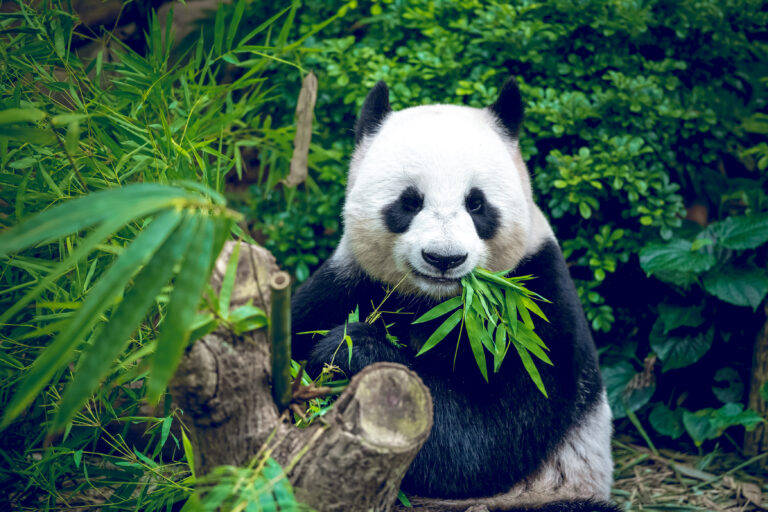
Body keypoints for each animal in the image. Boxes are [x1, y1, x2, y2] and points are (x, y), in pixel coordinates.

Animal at [291, 77, 618, 512]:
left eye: (476, 203)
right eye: (409, 201)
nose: (444, 258)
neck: (436, 301)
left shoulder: (532, 308)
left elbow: (484, 439)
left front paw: (351, 347)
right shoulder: (349, 281)